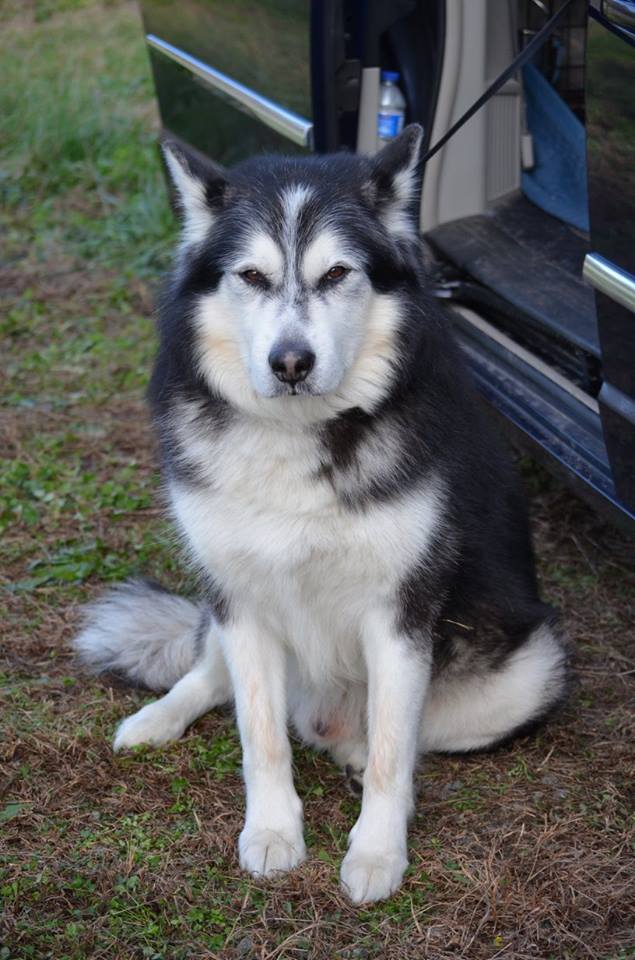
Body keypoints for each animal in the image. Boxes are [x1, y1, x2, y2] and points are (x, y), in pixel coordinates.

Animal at [74, 125, 572, 900]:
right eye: (250, 277)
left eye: (337, 273)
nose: (290, 363)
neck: (297, 435)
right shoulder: (241, 598)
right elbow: (260, 734)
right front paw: (273, 831)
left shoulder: (399, 615)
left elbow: (397, 748)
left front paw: (376, 852)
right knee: (208, 671)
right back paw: (157, 718)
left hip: (531, 672)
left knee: (400, 735)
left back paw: (355, 754)